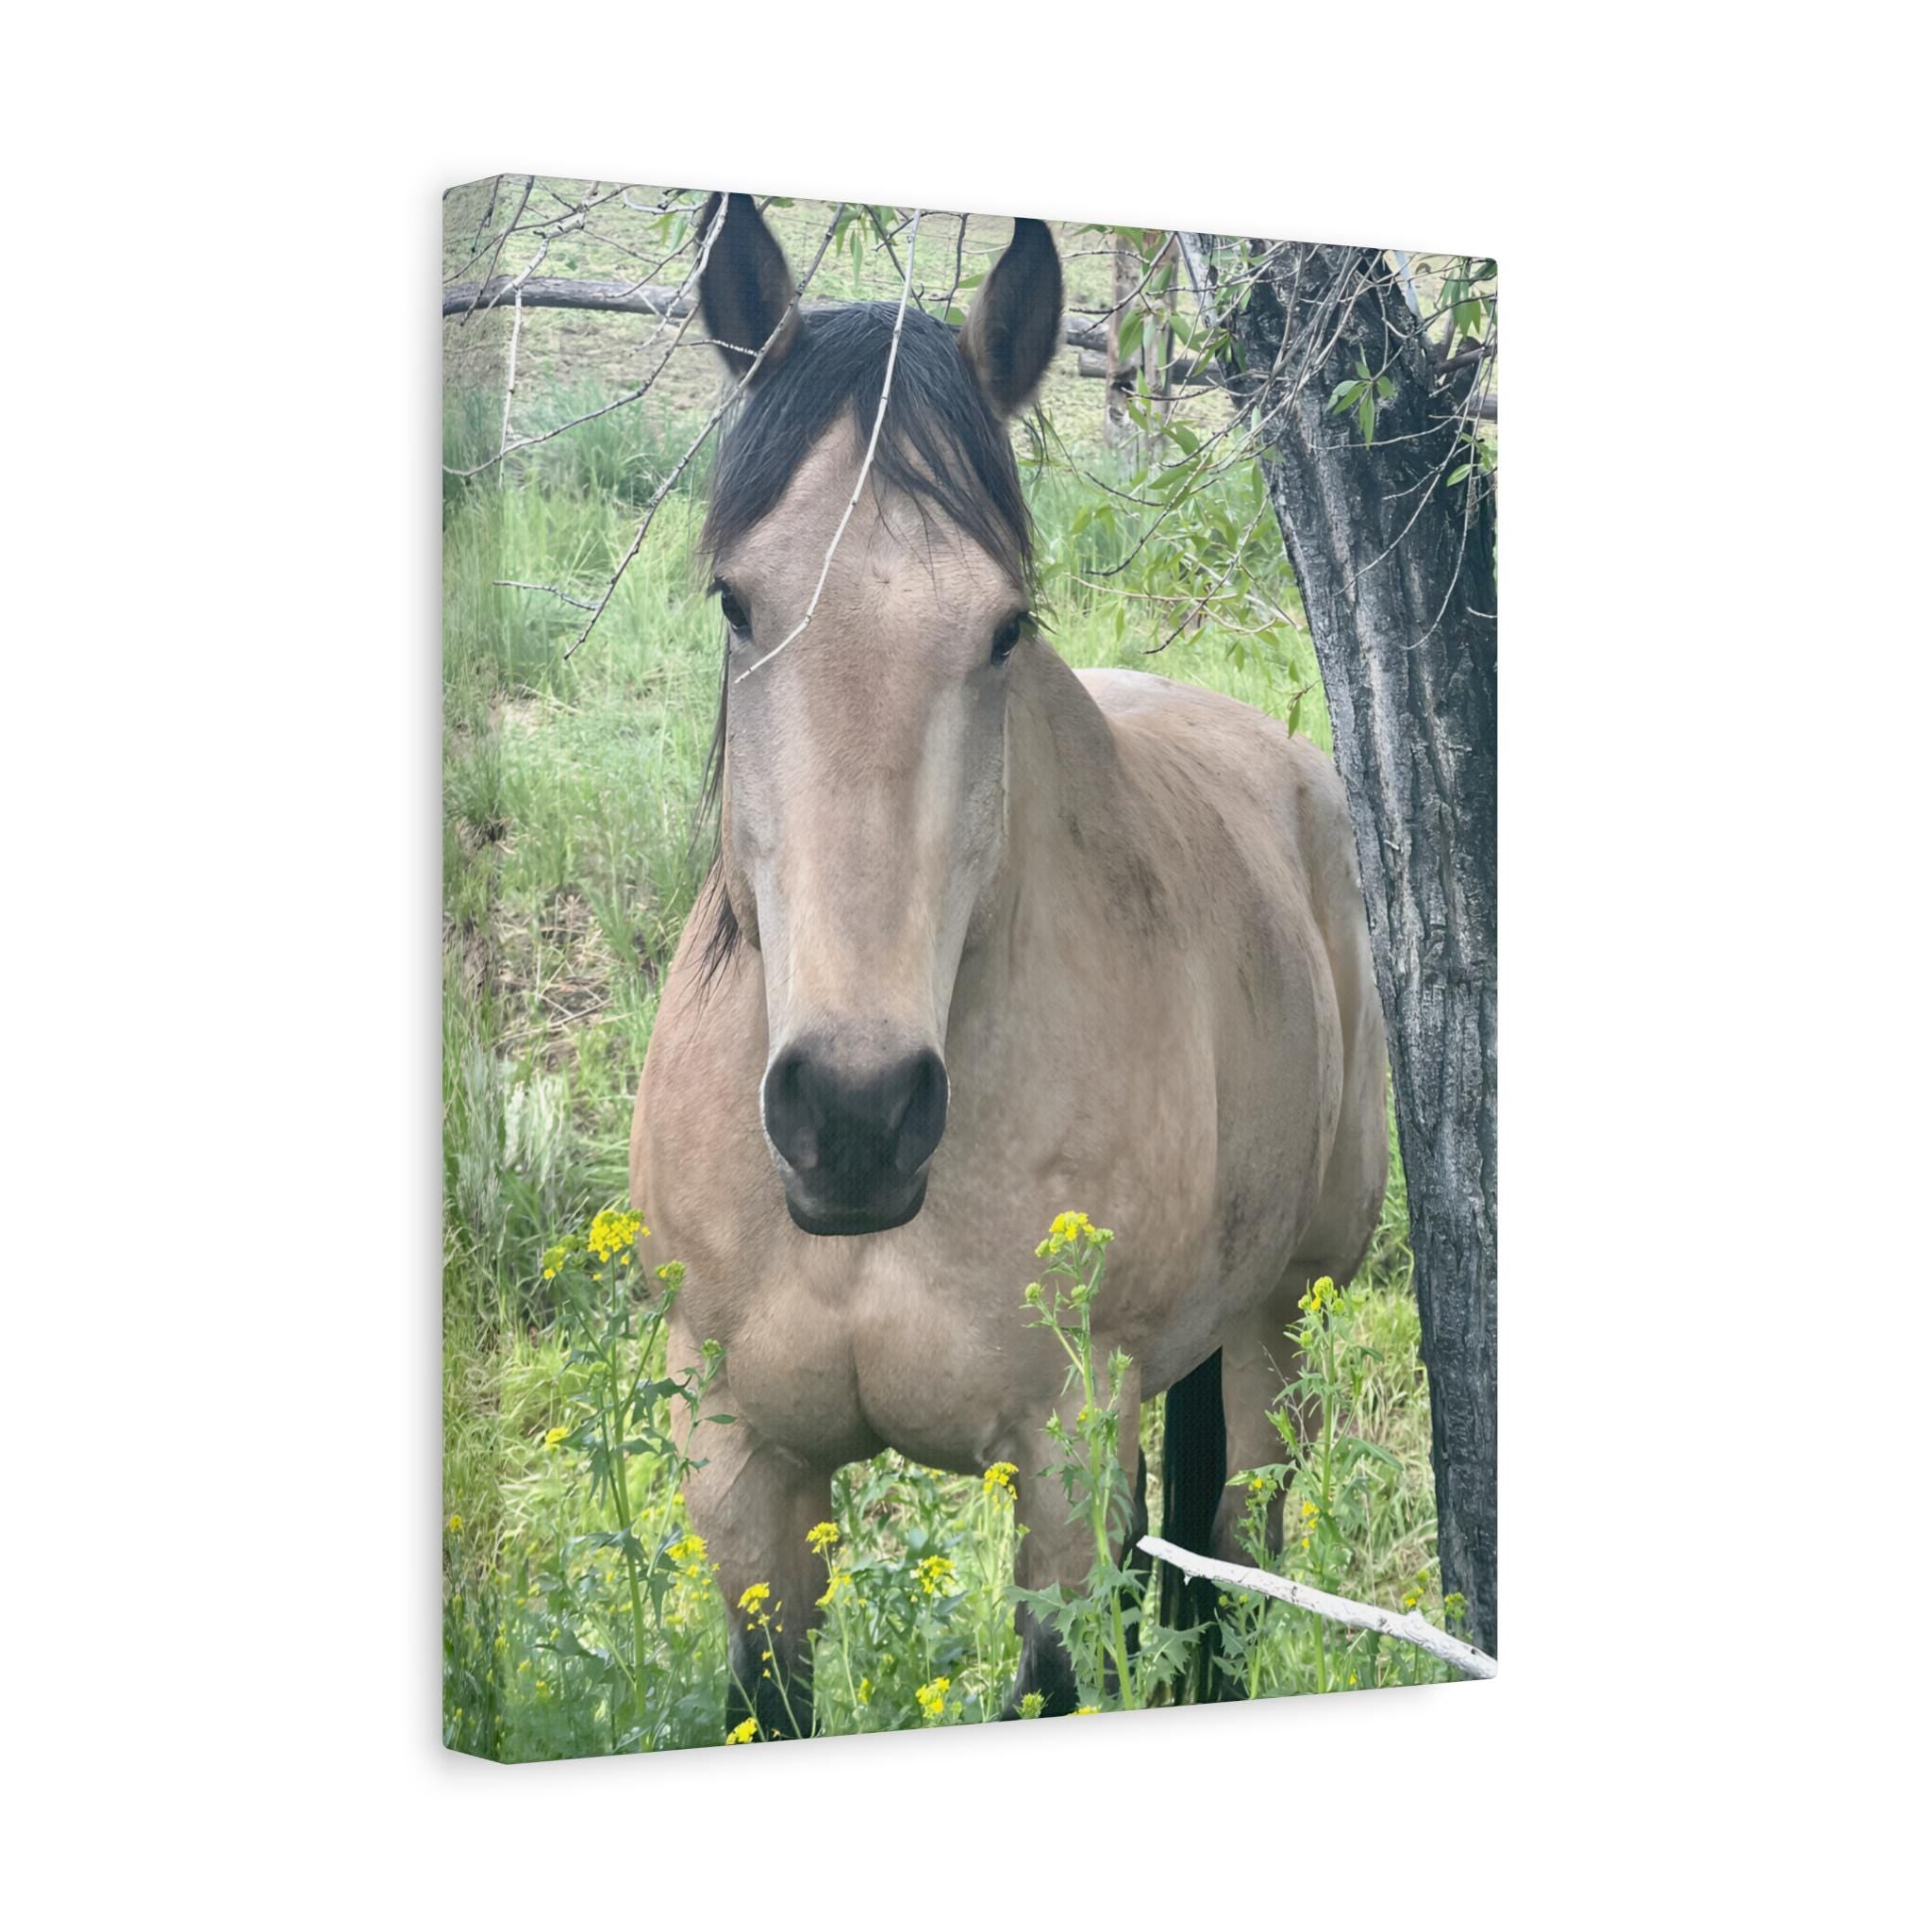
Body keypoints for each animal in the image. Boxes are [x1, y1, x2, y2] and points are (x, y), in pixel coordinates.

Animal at [630, 193, 1388, 1733]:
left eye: (1004, 626)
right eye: (736, 602)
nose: (854, 1114)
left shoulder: (1058, 1459)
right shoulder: (744, 1477)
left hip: (1280, 1325)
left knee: (1229, 1577)